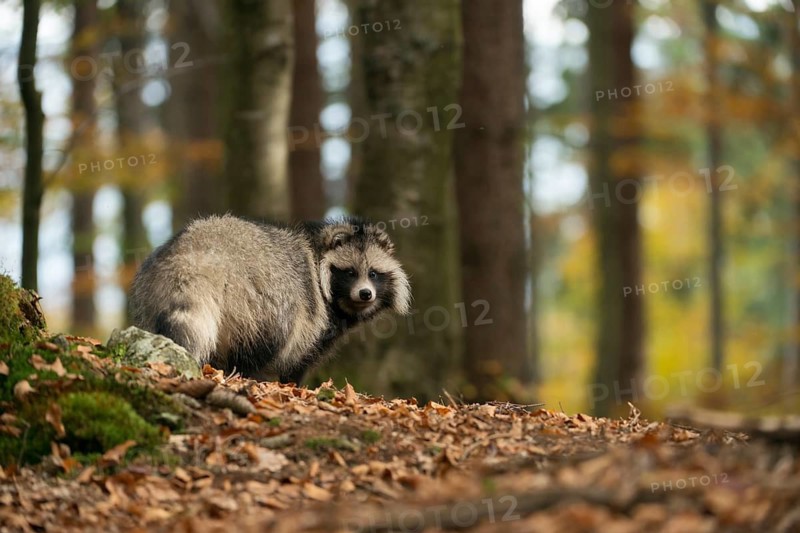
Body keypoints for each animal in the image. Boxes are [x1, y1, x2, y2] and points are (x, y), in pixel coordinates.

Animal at [129, 214, 411, 383]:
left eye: (373, 273)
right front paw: (294, 385)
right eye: (350, 272)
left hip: (151, 289)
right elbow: (299, 358)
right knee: (267, 340)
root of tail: (196, 253)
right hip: (260, 299)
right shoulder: (315, 317)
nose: (365, 293)